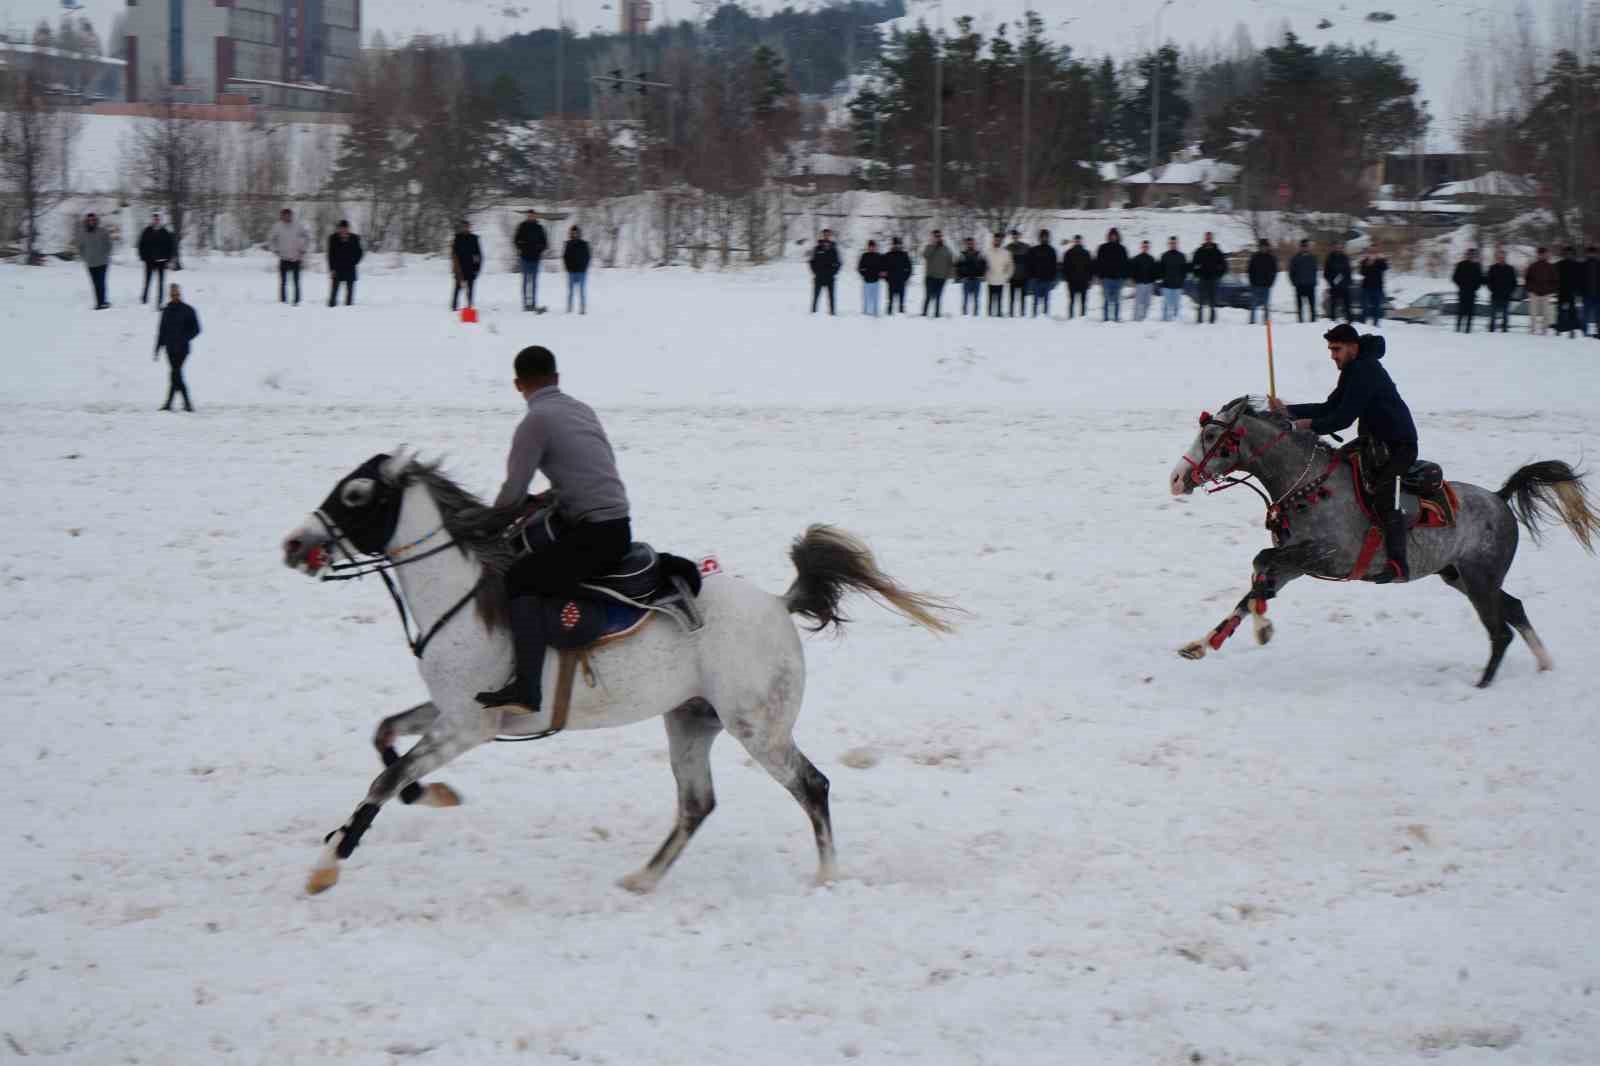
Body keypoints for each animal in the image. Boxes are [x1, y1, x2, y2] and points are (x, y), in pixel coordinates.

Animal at [281, 451, 953, 889]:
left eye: (356, 496)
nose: (294, 544)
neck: (463, 597)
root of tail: (777, 603)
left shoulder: (469, 725)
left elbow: (383, 779)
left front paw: (326, 864)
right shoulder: (450, 712)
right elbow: (385, 738)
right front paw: (426, 796)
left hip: (758, 728)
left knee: (812, 786)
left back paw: (827, 876)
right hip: (691, 721)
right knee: (697, 804)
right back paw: (642, 879)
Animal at [1171, 393, 1593, 685]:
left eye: (1211, 434)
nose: (1177, 478)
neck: (1309, 485)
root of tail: (1500, 498)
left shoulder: (1324, 555)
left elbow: (1260, 563)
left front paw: (1262, 629)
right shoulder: (1294, 563)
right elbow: (1257, 583)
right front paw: (1204, 644)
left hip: (1479, 580)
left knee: (1500, 631)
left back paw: (1483, 685)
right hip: (1461, 576)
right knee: (1515, 609)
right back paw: (1544, 662)